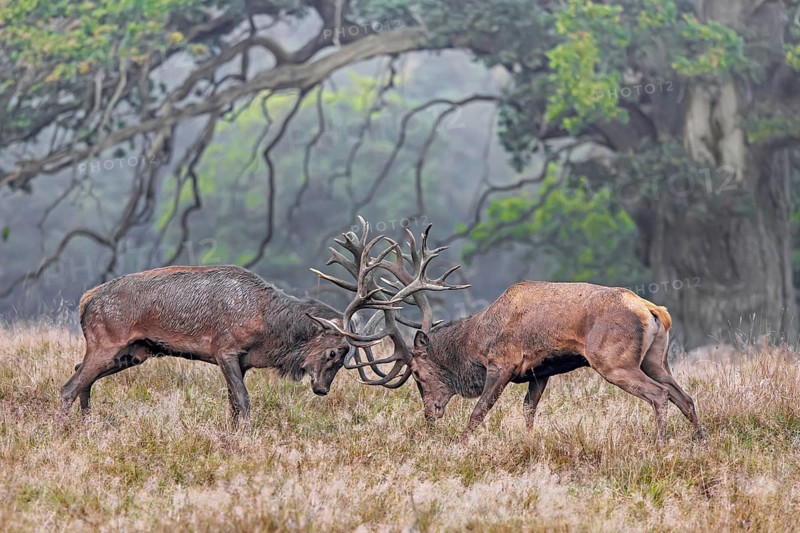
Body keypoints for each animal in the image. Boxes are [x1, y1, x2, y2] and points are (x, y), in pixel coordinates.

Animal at [61, 265, 352, 424]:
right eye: (333, 352)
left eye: (342, 361)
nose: (322, 389)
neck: (265, 326)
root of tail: (86, 300)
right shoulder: (224, 349)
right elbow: (243, 399)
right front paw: (247, 439)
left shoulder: (243, 362)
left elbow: (233, 403)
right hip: (106, 340)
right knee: (68, 387)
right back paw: (63, 430)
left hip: (134, 351)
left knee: (79, 372)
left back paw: (87, 423)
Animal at [313, 218, 706, 443]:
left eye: (419, 375)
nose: (430, 414)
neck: (474, 342)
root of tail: (653, 310)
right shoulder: (540, 372)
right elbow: (528, 413)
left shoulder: (502, 363)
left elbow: (478, 411)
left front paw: (461, 444)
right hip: (656, 359)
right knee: (684, 396)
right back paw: (699, 441)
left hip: (613, 360)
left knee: (659, 395)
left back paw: (658, 444)